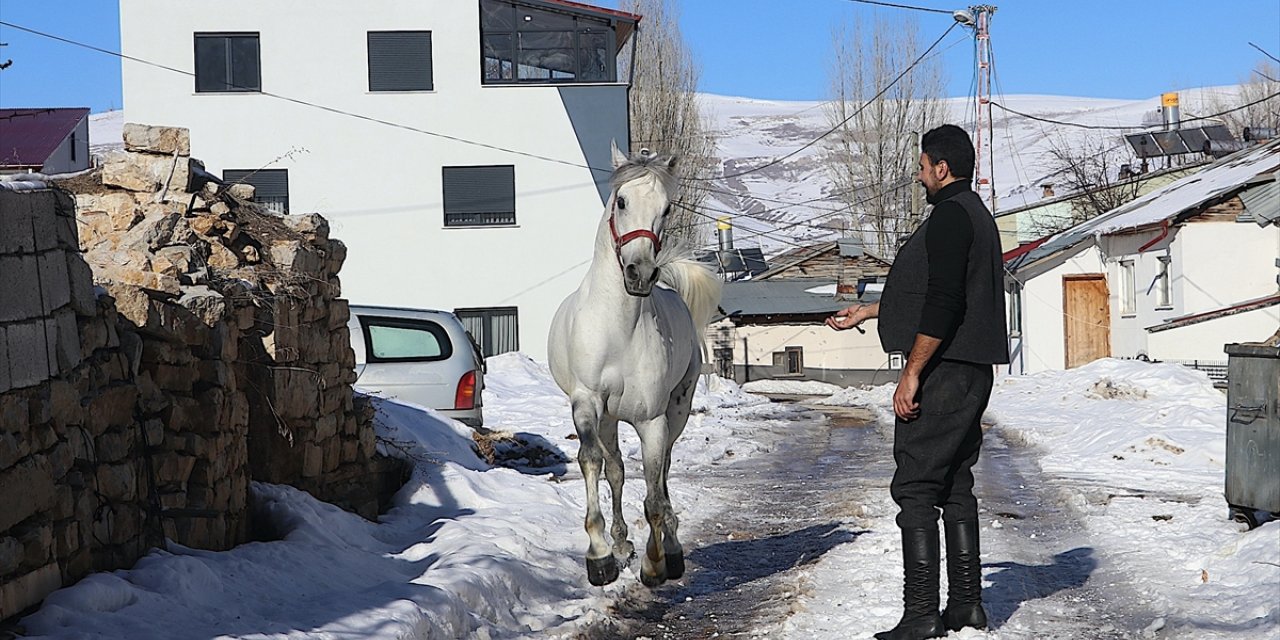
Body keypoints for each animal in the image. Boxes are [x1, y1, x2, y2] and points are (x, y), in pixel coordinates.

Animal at [545, 144, 721, 586]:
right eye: (621, 201)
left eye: (667, 207)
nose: (639, 273)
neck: (618, 327)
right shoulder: (587, 403)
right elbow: (592, 462)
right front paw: (600, 554)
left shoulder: (652, 418)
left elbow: (655, 491)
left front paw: (655, 562)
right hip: (609, 418)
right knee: (616, 469)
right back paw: (622, 542)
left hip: (676, 410)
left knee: (663, 472)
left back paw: (669, 548)